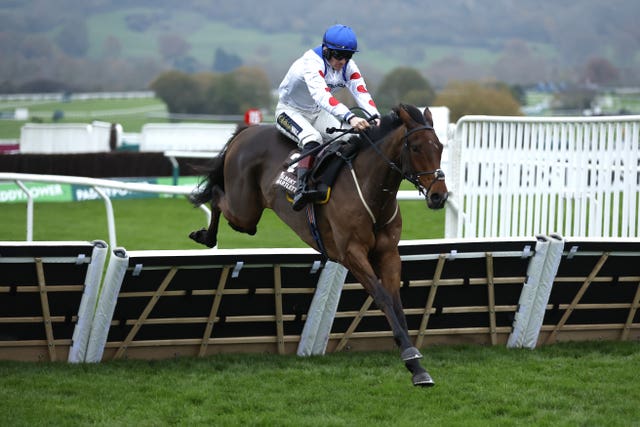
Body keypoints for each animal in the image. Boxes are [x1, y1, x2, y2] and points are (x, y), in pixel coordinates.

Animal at [190, 104, 448, 388]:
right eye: (415, 147)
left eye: (440, 146)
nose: (439, 195)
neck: (371, 191)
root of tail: (247, 131)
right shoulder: (351, 253)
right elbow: (381, 297)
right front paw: (410, 354)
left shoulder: (389, 253)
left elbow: (396, 302)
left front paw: (417, 367)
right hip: (243, 211)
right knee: (216, 194)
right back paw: (205, 235)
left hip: (246, 215)